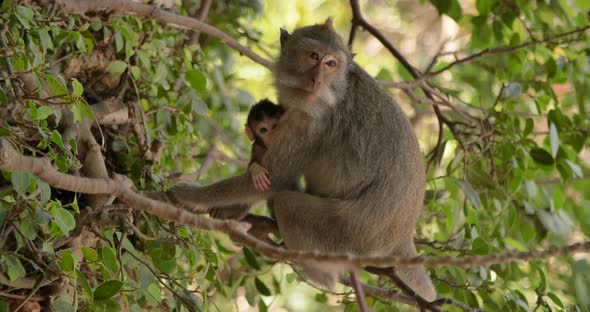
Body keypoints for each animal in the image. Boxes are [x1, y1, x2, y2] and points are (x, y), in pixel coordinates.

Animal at [153, 19, 440, 302]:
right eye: (314, 56)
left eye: (331, 64)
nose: (316, 81)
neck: (338, 89)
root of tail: (402, 239)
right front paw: (232, 210)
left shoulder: (309, 121)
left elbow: (276, 179)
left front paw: (192, 196)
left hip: (351, 236)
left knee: (288, 204)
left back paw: (319, 274)